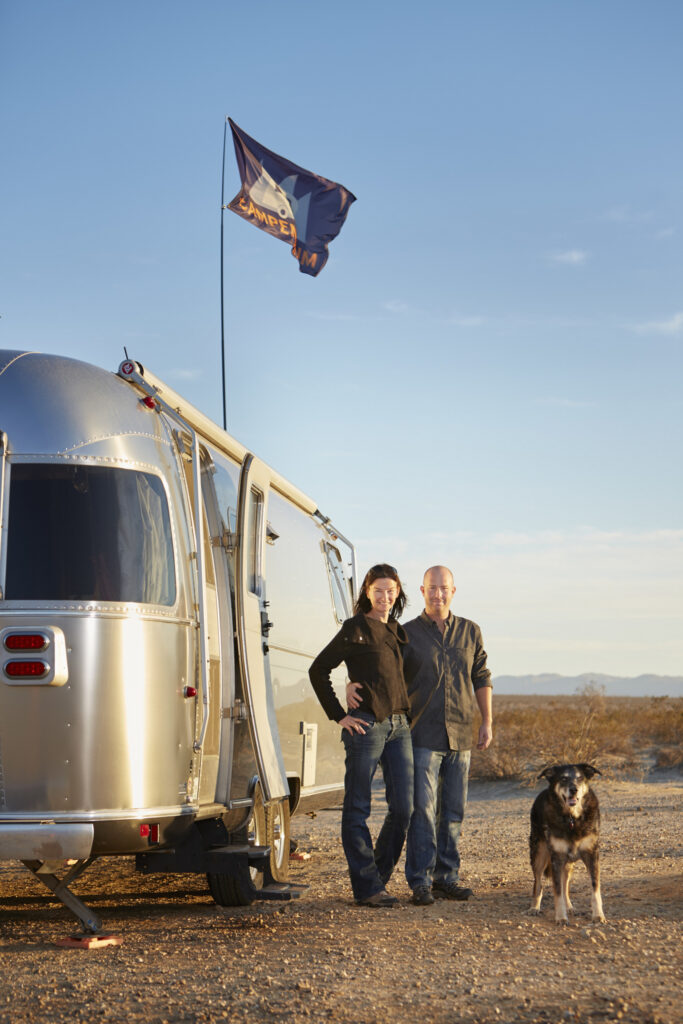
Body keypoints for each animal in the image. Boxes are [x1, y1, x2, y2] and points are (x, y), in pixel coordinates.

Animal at [528, 761, 602, 929]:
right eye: (563, 778)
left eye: (580, 778)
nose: (573, 789)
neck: (572, 818)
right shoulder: (556, 857)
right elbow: (557, 892)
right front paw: (561, 917)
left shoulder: (592, 854)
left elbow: (595, 888)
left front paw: (598, 915)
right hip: (539, 854)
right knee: (538, 883)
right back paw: (534, 907)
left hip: (567, 865)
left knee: (565, 885)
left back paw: (569, 907)